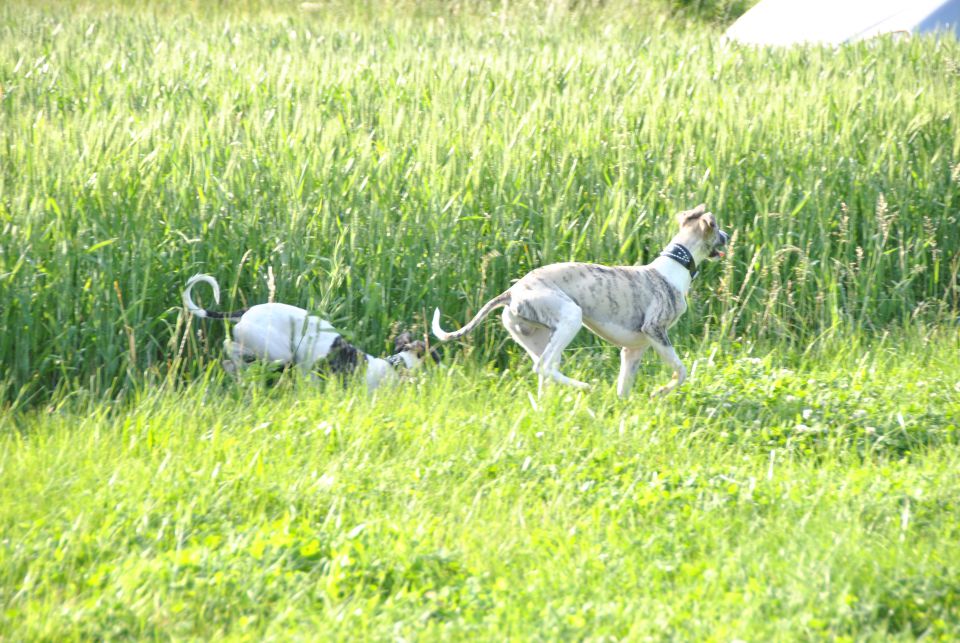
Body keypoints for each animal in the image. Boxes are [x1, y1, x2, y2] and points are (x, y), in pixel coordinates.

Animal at [182, 272, 436, 392]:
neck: (394, 366)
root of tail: (247, 312)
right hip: (278, 352)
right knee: (230, 347)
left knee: (232, 356)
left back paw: (239, 372)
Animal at [434, 206, 728, 398]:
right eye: (716, 228)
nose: (727, 236)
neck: (675, 265)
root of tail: (512, 292)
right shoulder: (655, 330)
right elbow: (681, 371)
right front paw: (660, 391)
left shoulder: (633, 350)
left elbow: (624, 387)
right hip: (570, 317)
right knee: (543, 366)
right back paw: (584, 387)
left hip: (536, 336)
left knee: (545, 370)